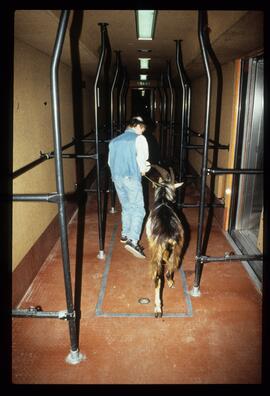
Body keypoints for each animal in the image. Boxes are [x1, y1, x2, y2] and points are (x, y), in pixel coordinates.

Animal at [146, 165, 186, 318]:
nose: (174, 200)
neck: (162, 199)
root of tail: (168, 237)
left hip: (157, 251)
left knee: (158, 277)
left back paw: (158, 309)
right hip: (177, 249)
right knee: (169, 270)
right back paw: (171, 283)